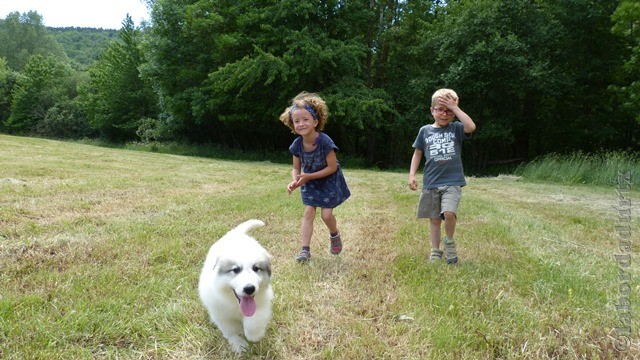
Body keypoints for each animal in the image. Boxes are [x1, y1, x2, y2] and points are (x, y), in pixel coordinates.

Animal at [198, 218, 272, 352]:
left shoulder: (262, 303)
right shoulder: (220, 312)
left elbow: (254, 320)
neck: (235, 302)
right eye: (236, 270)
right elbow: (230, 330)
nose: (249, 288)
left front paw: (254, 335)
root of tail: (235, 234)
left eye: (256, 268)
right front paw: (238, 343)